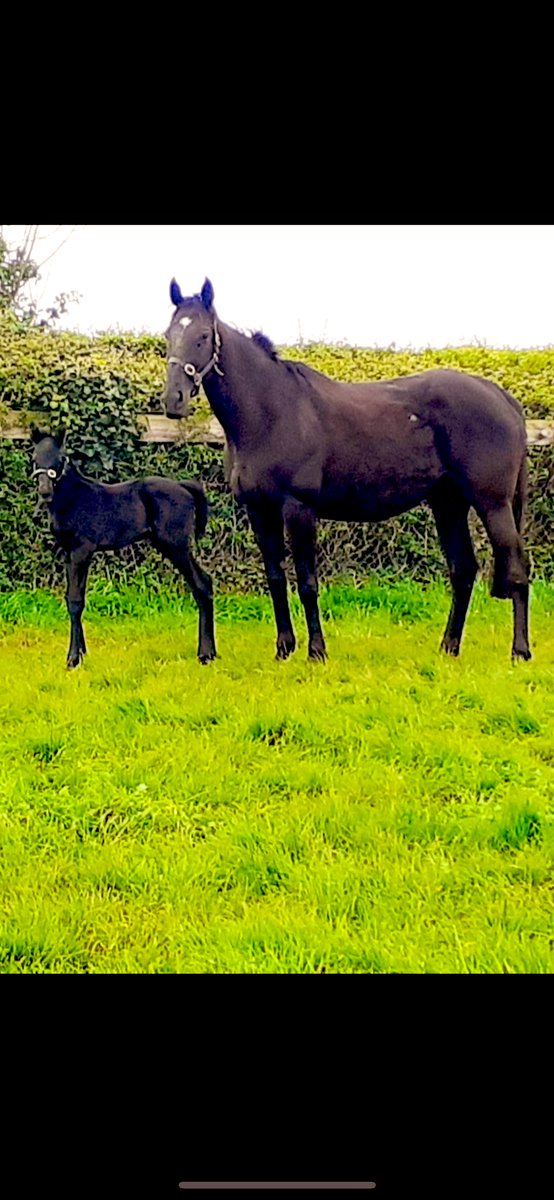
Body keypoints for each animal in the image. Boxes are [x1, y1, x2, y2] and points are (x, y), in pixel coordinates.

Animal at [29, 427, 215, 667]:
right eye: (34, 458)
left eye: (60, 459)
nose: (45, 491)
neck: (74, 499)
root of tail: (184, 487)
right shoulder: (69, 554)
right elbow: (74, 598)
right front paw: (82, 652)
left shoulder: (81, 551)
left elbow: (76, 601)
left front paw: (73, 659)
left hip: (176, 546)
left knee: (201, 584)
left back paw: (206, 654)